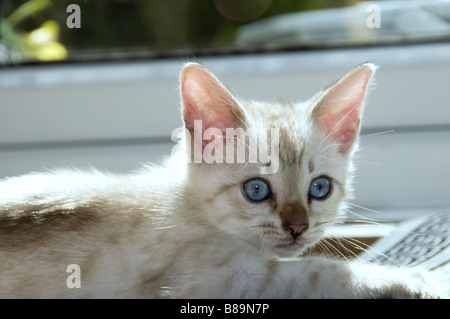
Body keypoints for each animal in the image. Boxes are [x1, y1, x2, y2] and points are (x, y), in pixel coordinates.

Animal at [0, 63, 442, 300]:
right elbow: (312, 272)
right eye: (256, 190)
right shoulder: (202, 282)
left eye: (320, 188)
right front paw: (412, 278)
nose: (298, 228)